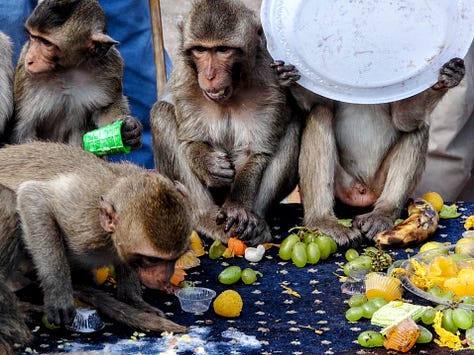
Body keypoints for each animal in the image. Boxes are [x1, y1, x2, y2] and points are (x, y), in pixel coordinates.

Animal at [0, 142, 194, 354]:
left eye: (174, 259)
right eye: (152, 259)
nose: (164, 278)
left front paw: (133, 301)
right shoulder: (82, 219)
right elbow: (33, 198)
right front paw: (58, 295)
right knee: (10, 201)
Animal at [150, 0, 302, 248]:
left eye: (222, 50)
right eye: (201, 50)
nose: (210, 75)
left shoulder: (268, 81)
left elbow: (254, 151)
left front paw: (238, 208)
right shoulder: (184, 79)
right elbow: (191, 141)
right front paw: (208, 164)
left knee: (293, 125)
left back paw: (256, 224)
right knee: (161, 114)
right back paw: (204, 216)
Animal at [280, 58, 464, 248]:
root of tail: (363, 190)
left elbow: (405, 121)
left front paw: (445, 80)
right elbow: (315, 104)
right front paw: (287, 77)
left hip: (379, 184)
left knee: (418, 128)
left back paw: (383, 212)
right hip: (343, 184)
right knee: (320, 113)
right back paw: (321, 221)